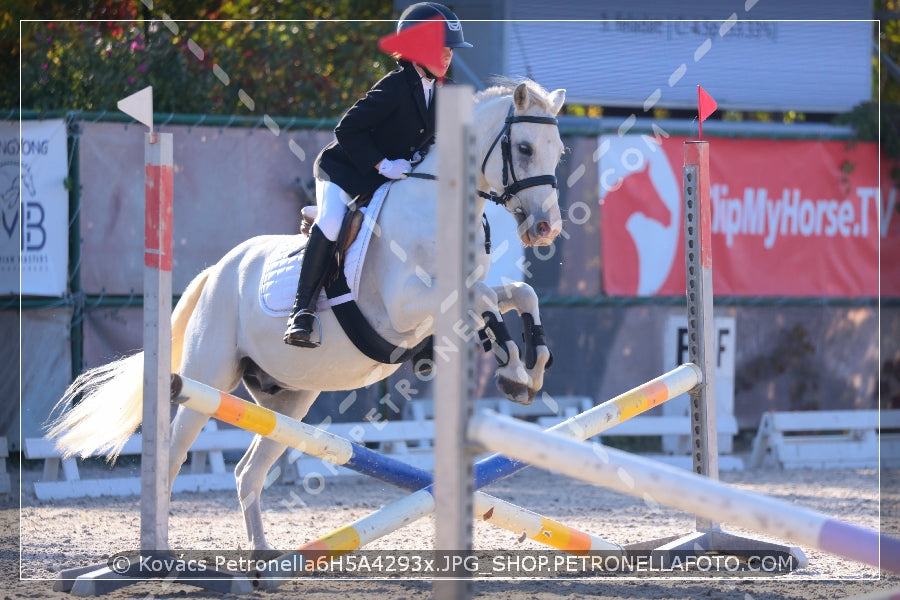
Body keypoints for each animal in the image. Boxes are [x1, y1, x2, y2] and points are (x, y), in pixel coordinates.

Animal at [47, 79, 564, 552]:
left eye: (558, 152)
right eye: (523, 147)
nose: (545, 228)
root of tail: (218, 270)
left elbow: (518, 294)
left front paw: (531, 369)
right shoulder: (404, 305)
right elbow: (484, 299)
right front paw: (514, 369)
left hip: (289, 400)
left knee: (247, 472)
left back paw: (261, 560)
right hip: (206, 379)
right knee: (172, 457)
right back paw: (160, 555)